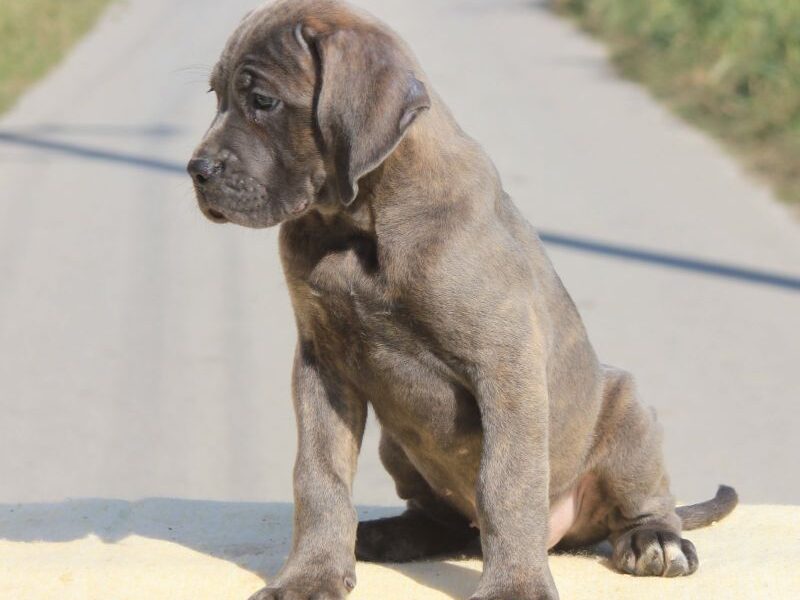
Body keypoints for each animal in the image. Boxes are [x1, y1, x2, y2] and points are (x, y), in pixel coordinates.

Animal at [188, 2, 736, 596]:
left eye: (263, 101)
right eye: (217, 96)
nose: (197, 171)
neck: (361, 224)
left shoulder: (505, 362)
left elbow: (507, 482)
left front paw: (516, 585)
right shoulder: (321, 364)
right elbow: (318, 476)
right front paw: (311, 575)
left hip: (629, 412)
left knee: (649, 503)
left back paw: (654, 540)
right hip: (396, 444)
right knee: (441, 519)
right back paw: (385, 535)